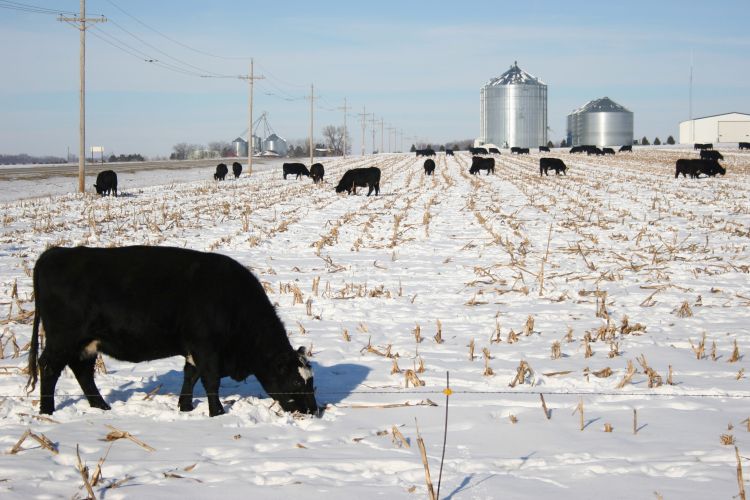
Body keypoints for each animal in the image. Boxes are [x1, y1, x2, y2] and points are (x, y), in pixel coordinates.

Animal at [25, 246, 318, 418]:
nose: (314, 411)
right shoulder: (206, 347)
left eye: (311, 380)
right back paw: (47, 410)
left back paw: (101, 407)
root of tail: (55, 252)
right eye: (296, 382)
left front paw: (185, 407)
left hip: (86, 343)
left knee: (83, 372)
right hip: (63, 338)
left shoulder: (194, 349)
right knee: (48, 367)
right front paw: (217, 412)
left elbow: (191, 376)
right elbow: (210, 380)